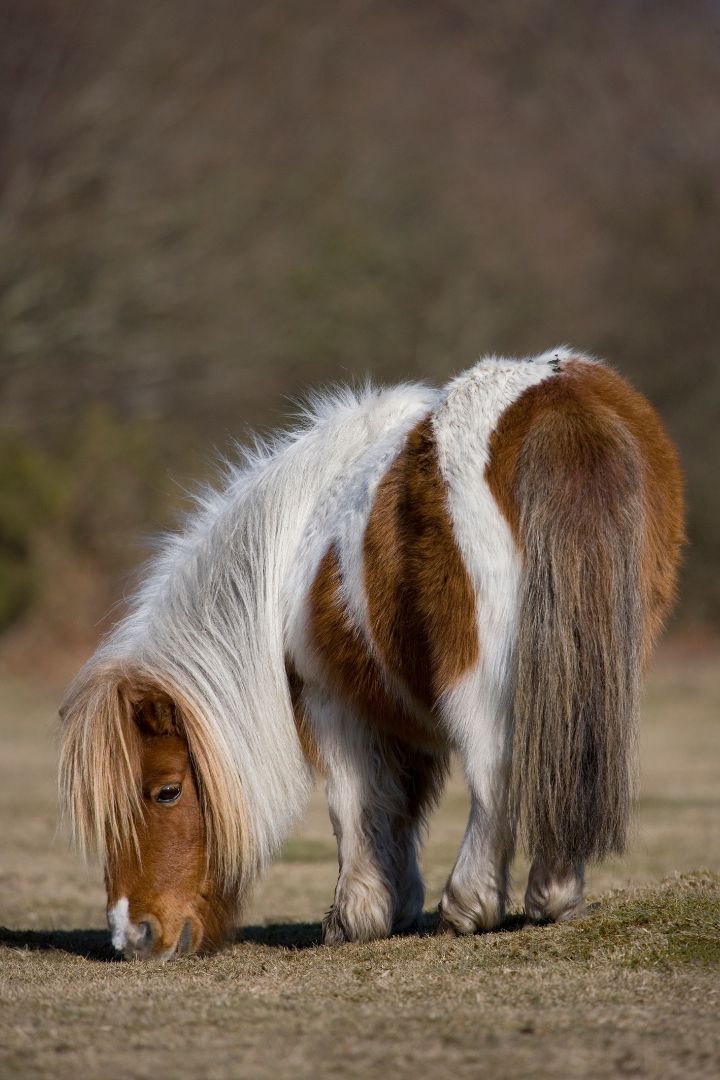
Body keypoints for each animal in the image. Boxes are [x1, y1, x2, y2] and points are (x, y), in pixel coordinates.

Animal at [59, 349, 686, 959]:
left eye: (165, 791)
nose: (132, 936)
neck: (291, 547)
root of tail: (557, 403)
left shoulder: (329, 698)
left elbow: (355, 802)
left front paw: (355, 916)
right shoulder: (395, 710)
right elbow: (400, 804)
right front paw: (398, 903)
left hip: (479, 673)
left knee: (495, 769)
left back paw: (472, 904)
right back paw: (553, 893)